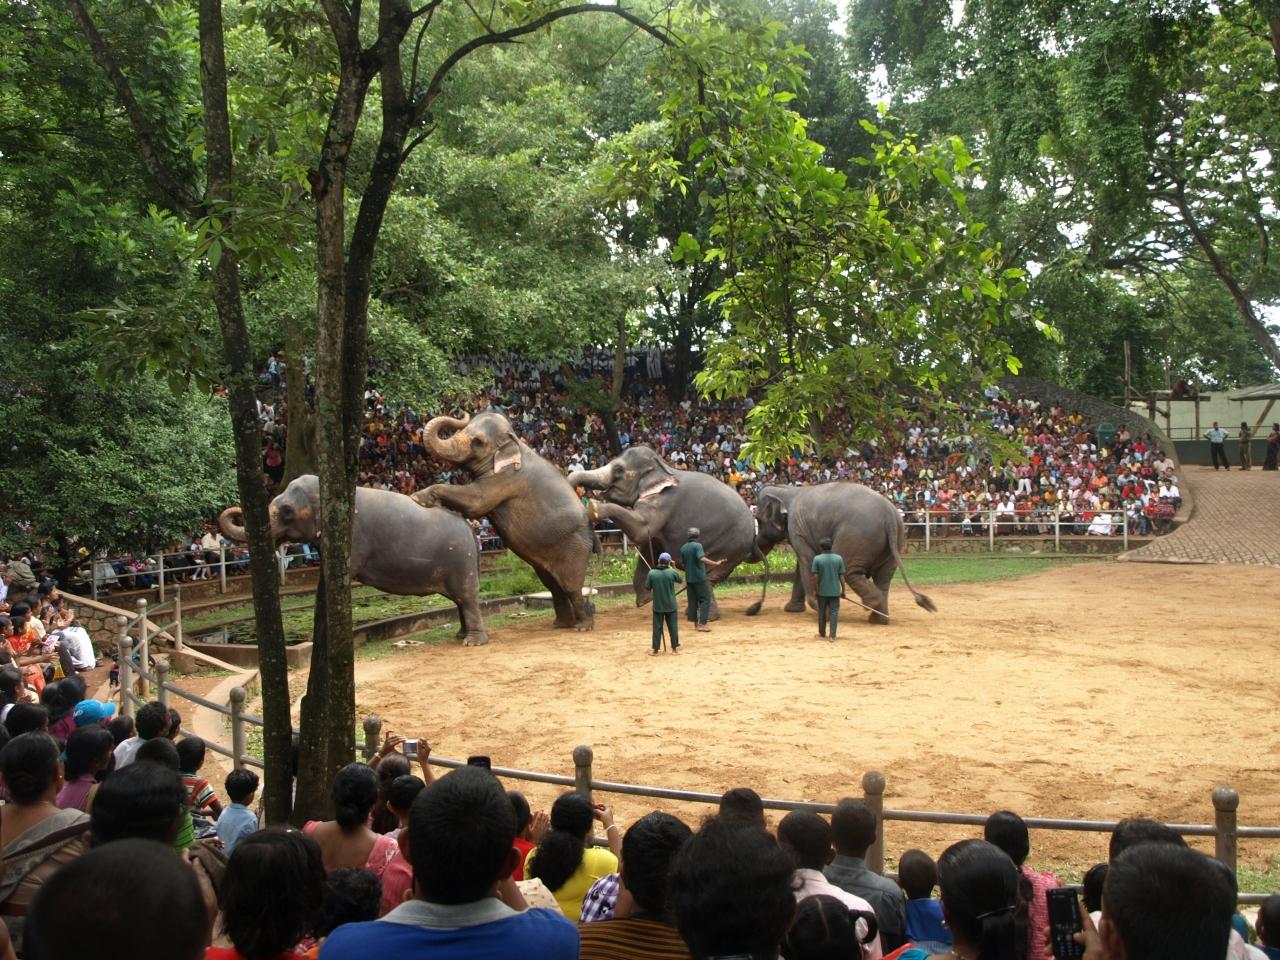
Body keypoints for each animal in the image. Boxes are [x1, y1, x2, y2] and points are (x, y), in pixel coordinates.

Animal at [218, 474, 488, 645]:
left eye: (287, 511)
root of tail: (470, 528)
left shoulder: (352, 535)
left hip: (460, 562)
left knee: (466, 597)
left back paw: (472, 643)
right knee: (460, 600)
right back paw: (461, 636)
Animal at [412, 409, 595, 630]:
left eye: (478, 442)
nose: (462, 413)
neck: (516, 441)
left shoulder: (508, 478)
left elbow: (477, 501)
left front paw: (417, 497)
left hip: (576, 548)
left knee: (571, 586)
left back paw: (582, 626)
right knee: (553, 584)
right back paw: (561, 625)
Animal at [567, 445, 764, 620]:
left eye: (619, 469)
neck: (663, 467)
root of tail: (753, 536)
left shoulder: (663, 501)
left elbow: (641, 529)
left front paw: (594, 508)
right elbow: (648, 544)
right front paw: (645, 601)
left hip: (727, 548)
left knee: (707, 577)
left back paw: (707, 617)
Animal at [754, 482, 937, 624]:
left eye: (758, 520)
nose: (756, 606)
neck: (787, 490)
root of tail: (890, 516)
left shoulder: (796, 528)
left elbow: (807, 561)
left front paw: (821, 611)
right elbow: (802, 565)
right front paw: (793, 609)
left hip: (857, 536)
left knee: (849, 571)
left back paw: (871, 604)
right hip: (894, 543)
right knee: (883, 578)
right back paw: (879, 618)